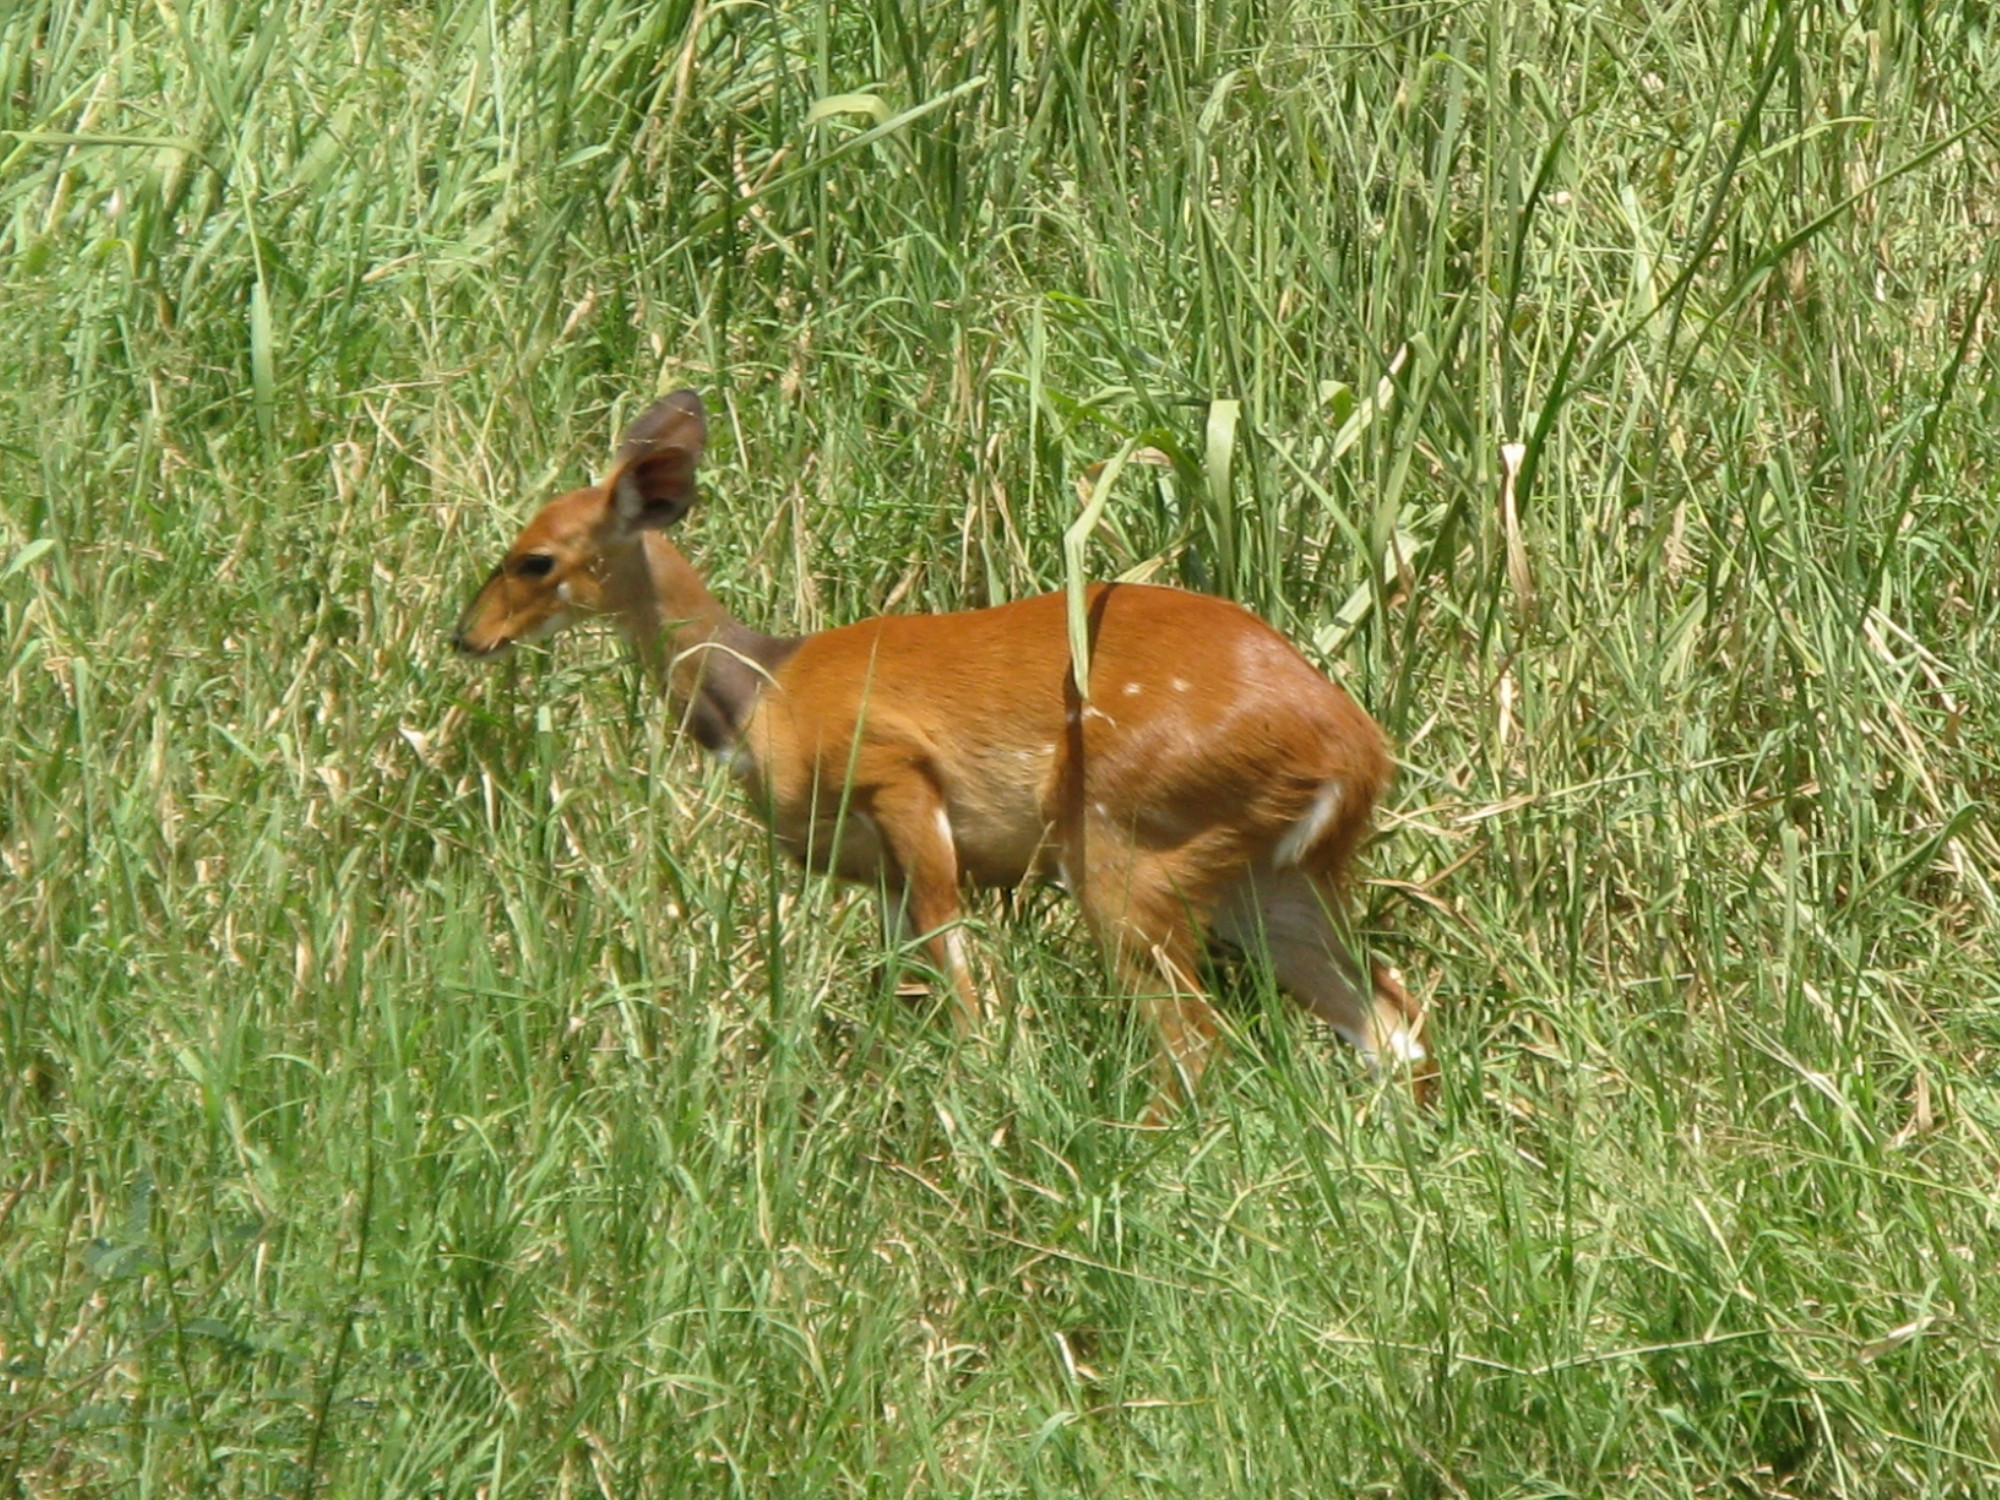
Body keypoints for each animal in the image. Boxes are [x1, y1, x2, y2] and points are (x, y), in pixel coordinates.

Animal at [458, 390, 1424, 1120]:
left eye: (532, 559)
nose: (468, 637)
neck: (765, 694)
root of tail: (1355, 750)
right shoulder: (871, 870)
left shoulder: (893, 774)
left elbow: (958, 972)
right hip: (1272, 875)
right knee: (1389, 1014)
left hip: (1126, 838)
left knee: (1197, 1041)